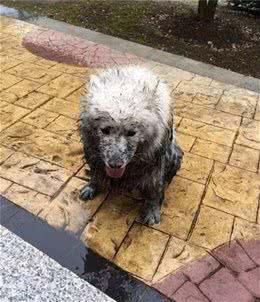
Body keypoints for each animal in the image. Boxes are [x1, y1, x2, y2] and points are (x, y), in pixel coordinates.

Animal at [79, 65, 183, 224]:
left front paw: (152, 210)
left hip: (175, 155)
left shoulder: (156, 161)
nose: (115, 164)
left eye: (132, 133)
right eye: (105, 130)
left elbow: (154, 189)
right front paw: (92, 187)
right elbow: (96, 173)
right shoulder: (92, 151)